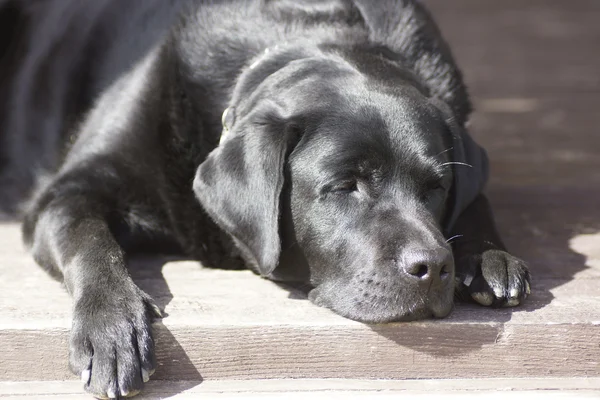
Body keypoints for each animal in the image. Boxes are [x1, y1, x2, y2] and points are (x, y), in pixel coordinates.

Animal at [15, 1, 536, 398]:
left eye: (436, 188)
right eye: (345, 185)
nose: (432, 266)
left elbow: (478, 201)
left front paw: (489, 257)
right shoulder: (66, 192)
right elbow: (91, 241)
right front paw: (112, 327)